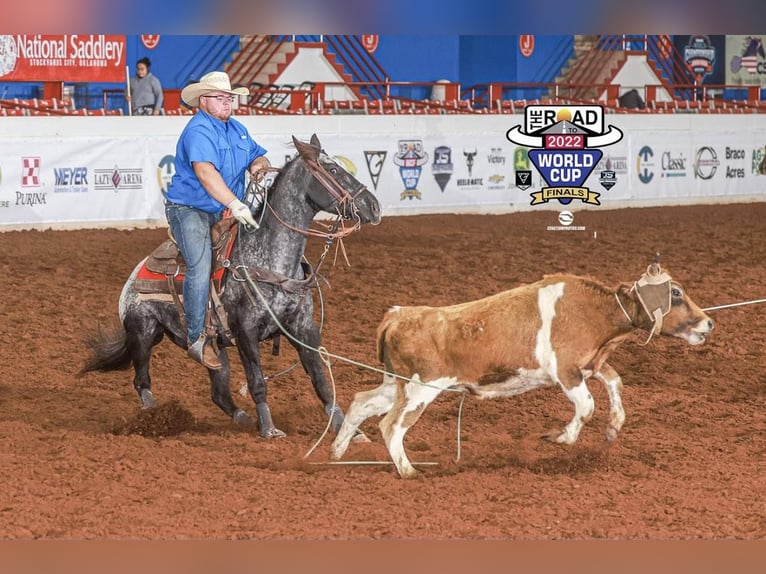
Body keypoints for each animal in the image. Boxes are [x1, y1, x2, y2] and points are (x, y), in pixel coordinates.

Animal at [79, 135, 384, 438]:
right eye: (332, 170)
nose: (374, 206)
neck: (271, 260)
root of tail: (134, 275)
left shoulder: (303, 327)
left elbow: (321, 380)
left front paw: (348, 430)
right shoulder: (245, 330)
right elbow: (257, 381)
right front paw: (269, 429)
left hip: (215, 349)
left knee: (219, 391)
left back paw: (242, 418)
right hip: (142, 333)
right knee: (142, 381)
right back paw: (152, 416)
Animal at [332, 264, 716, 480]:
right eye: (676, 293)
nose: (709, 323)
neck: (595, 312)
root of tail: (399, 314)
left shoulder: (591, 364)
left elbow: (614, 382)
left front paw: (613, 427)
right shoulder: (566, 371)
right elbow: (587, 406)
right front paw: (560, 437)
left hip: (395, 383)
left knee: (361, 402)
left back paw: (333, 454)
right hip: (420, 389)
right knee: (391, 425)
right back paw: (408, 471)